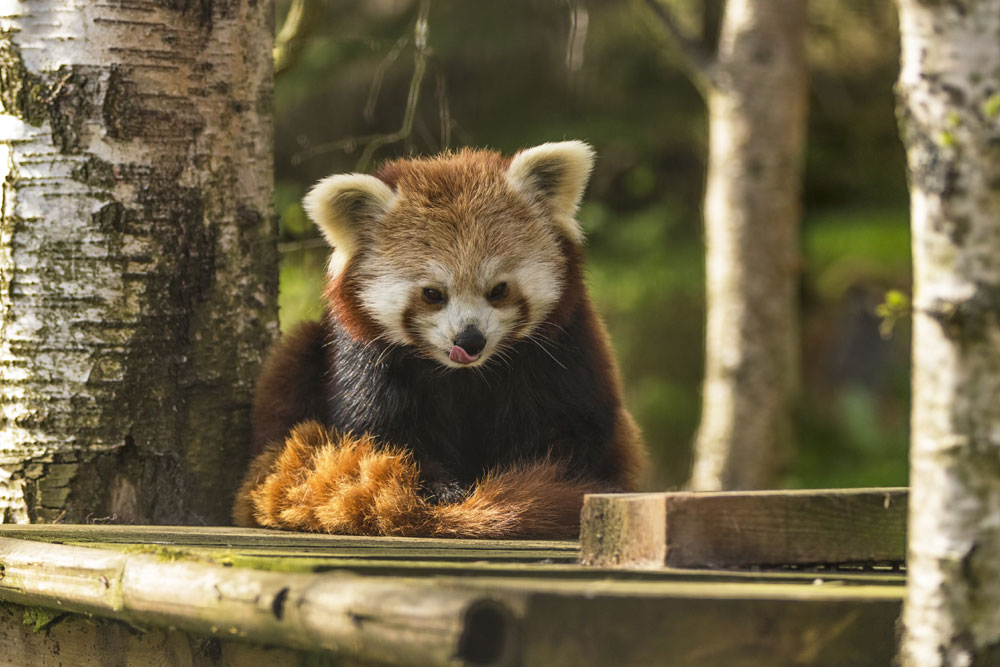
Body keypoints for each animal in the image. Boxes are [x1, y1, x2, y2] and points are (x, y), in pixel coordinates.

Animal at [230, 141, 644, 536]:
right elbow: (382, 431)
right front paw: (437, 491)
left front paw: (542, 481)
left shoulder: (563, 348)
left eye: (499, 290)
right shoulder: (367, 357)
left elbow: (569, 426)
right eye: (433, 294)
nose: (470, 340)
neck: (465, 375)